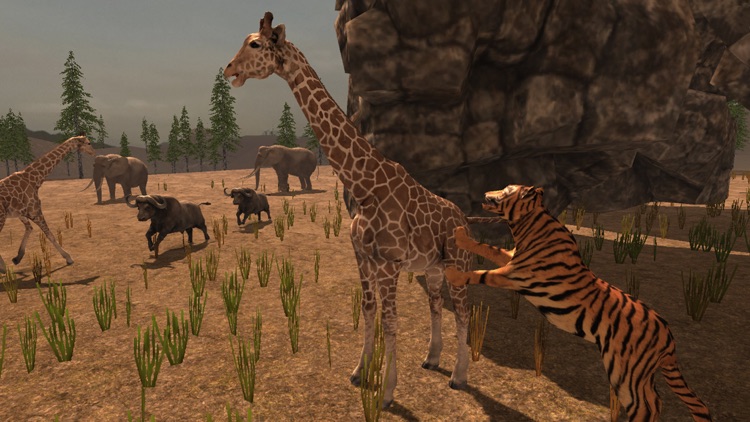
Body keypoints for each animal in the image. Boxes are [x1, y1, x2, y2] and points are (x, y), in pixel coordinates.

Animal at [444, 185, 711, 422]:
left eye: (507, 190)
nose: (486, 193)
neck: (527, 225)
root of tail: (668, 337)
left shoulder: (512, 274)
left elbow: (480, 273)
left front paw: (453, 274)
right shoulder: (511, 259)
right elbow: (487, 248)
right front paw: (461, 236)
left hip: (625, 372)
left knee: (645, 406)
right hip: (641, 375)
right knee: (658, 402)